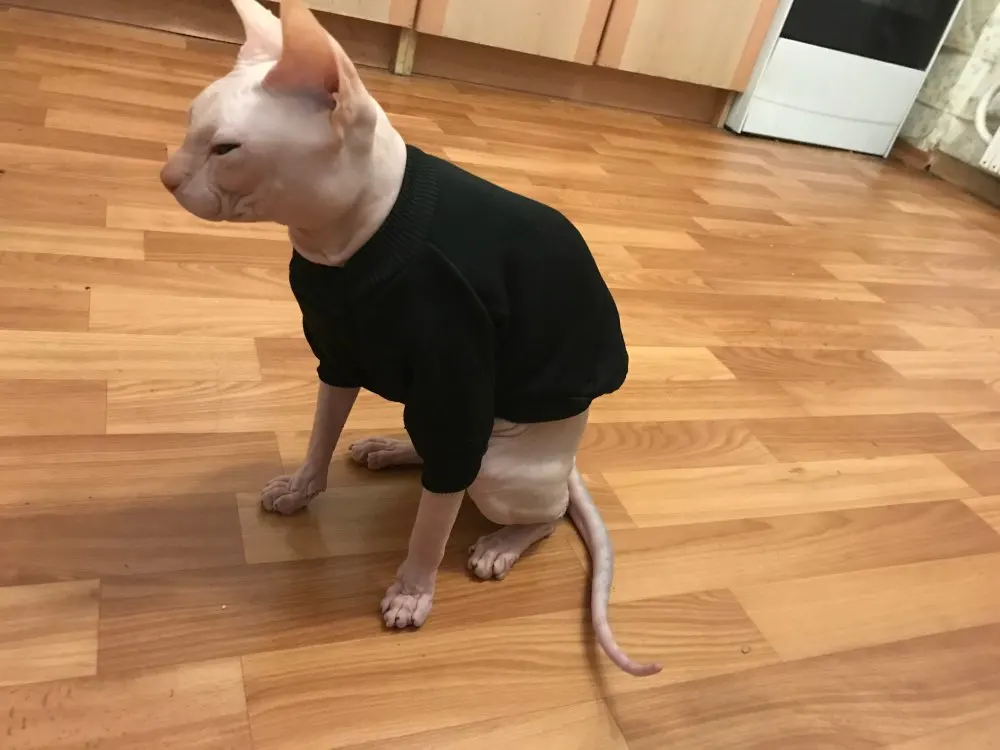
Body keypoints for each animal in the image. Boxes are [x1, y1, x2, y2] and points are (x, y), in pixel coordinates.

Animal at [161, 0, 661, 677]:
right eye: (189, 124)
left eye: (226, 148)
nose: (165, 176)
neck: (347, 242)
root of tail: (570, 463)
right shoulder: (338, 357)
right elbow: (321, 434)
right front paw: (301, 489)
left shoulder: (457, 372)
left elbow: (431, 524)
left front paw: (413, 590)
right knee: (438, 460)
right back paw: (390, 449)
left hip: (500, 465)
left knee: (533, 507)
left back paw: (502, 542)